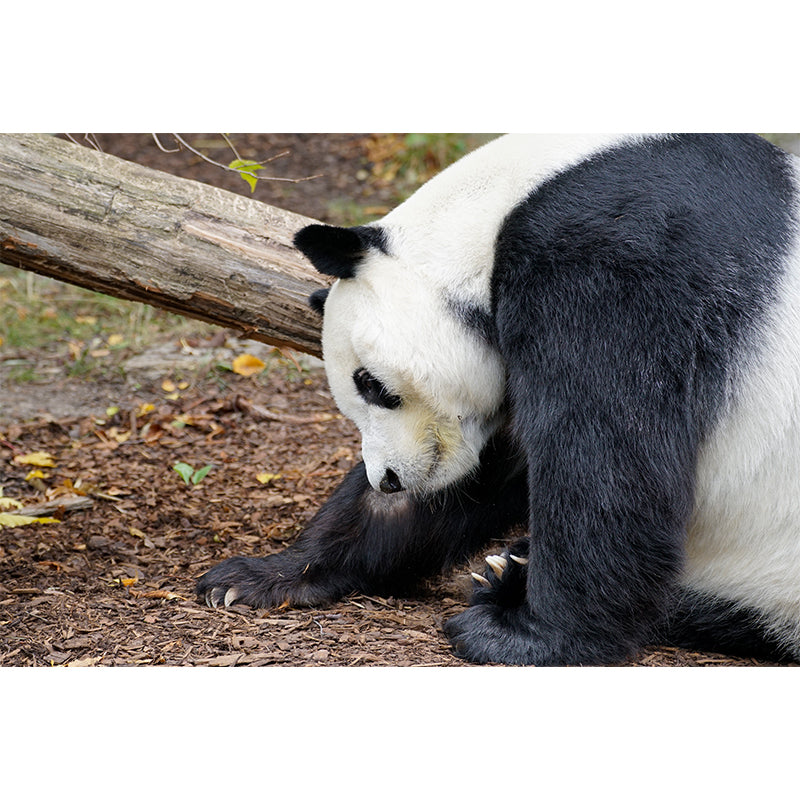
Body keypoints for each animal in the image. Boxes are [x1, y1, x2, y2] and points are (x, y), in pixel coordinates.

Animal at [197, 133, 800, 665]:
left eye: (372, 384)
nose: (388, 480)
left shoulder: (621, 256)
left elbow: (606, 448)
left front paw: (527, 638)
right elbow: (496, 466)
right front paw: (262, 577)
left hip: (770, 566)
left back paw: (509, 582)